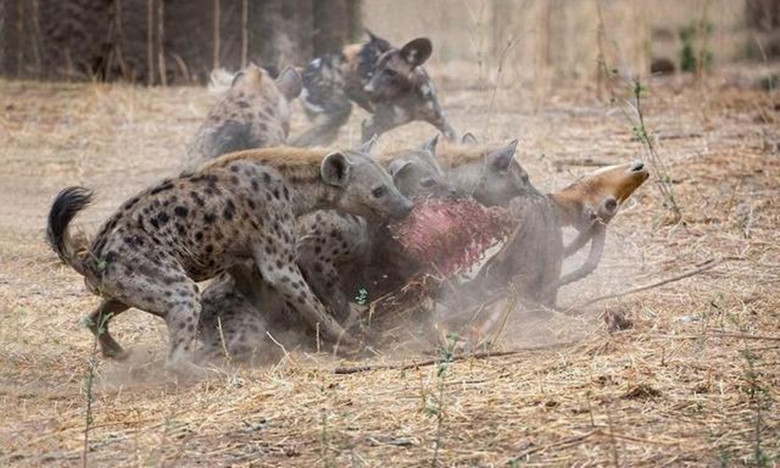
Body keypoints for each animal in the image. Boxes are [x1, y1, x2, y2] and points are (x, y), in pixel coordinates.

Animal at [47, 144, 414, 368]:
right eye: (378, 191)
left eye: (392, 182)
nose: (408, 206)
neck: (292, 184)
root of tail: (90, 256)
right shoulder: (275, 249)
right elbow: (309, 301)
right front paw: (348, 340)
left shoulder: (241, 258)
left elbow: (259, 289)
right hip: (170, 284)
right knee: (176, 349)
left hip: (129, 286)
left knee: (95, 316)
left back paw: (118, 353)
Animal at [292, 30, 458, 146]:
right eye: (375, 68)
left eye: (391, 72)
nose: (367, 89)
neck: (410, 96)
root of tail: (304, 70)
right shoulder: (371, 126)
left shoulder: (442, 123)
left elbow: (457, 141)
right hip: (337, 114)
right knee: (295, 142)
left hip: (330, 130)